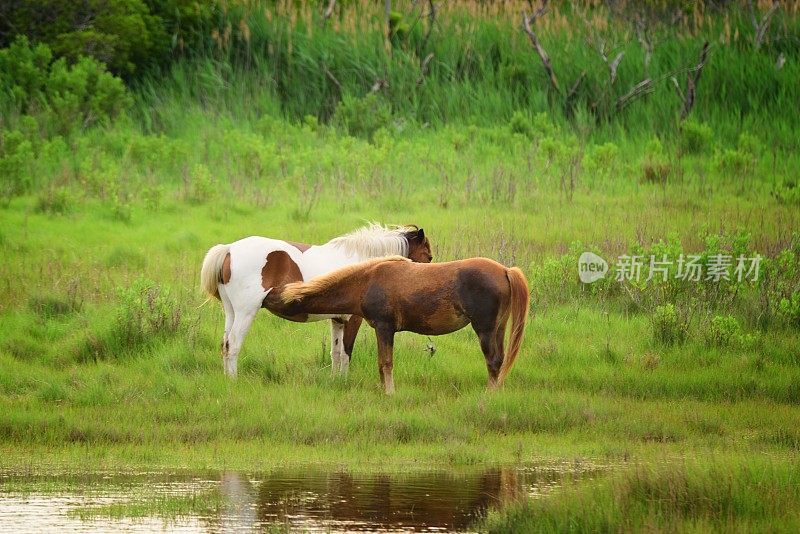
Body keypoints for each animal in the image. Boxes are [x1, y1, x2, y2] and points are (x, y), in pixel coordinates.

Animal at [200, 224, 432, 378]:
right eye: (428, 256)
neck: (363, 266)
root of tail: (229, 249)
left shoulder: (337, 320)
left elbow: (335, 352)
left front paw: (336, 381)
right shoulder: (352, 319)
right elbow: (346, 352)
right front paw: (344, 381)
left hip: (231, 312)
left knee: (225, 344)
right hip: (246, 312)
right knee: (233, 345)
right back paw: (233, 380)